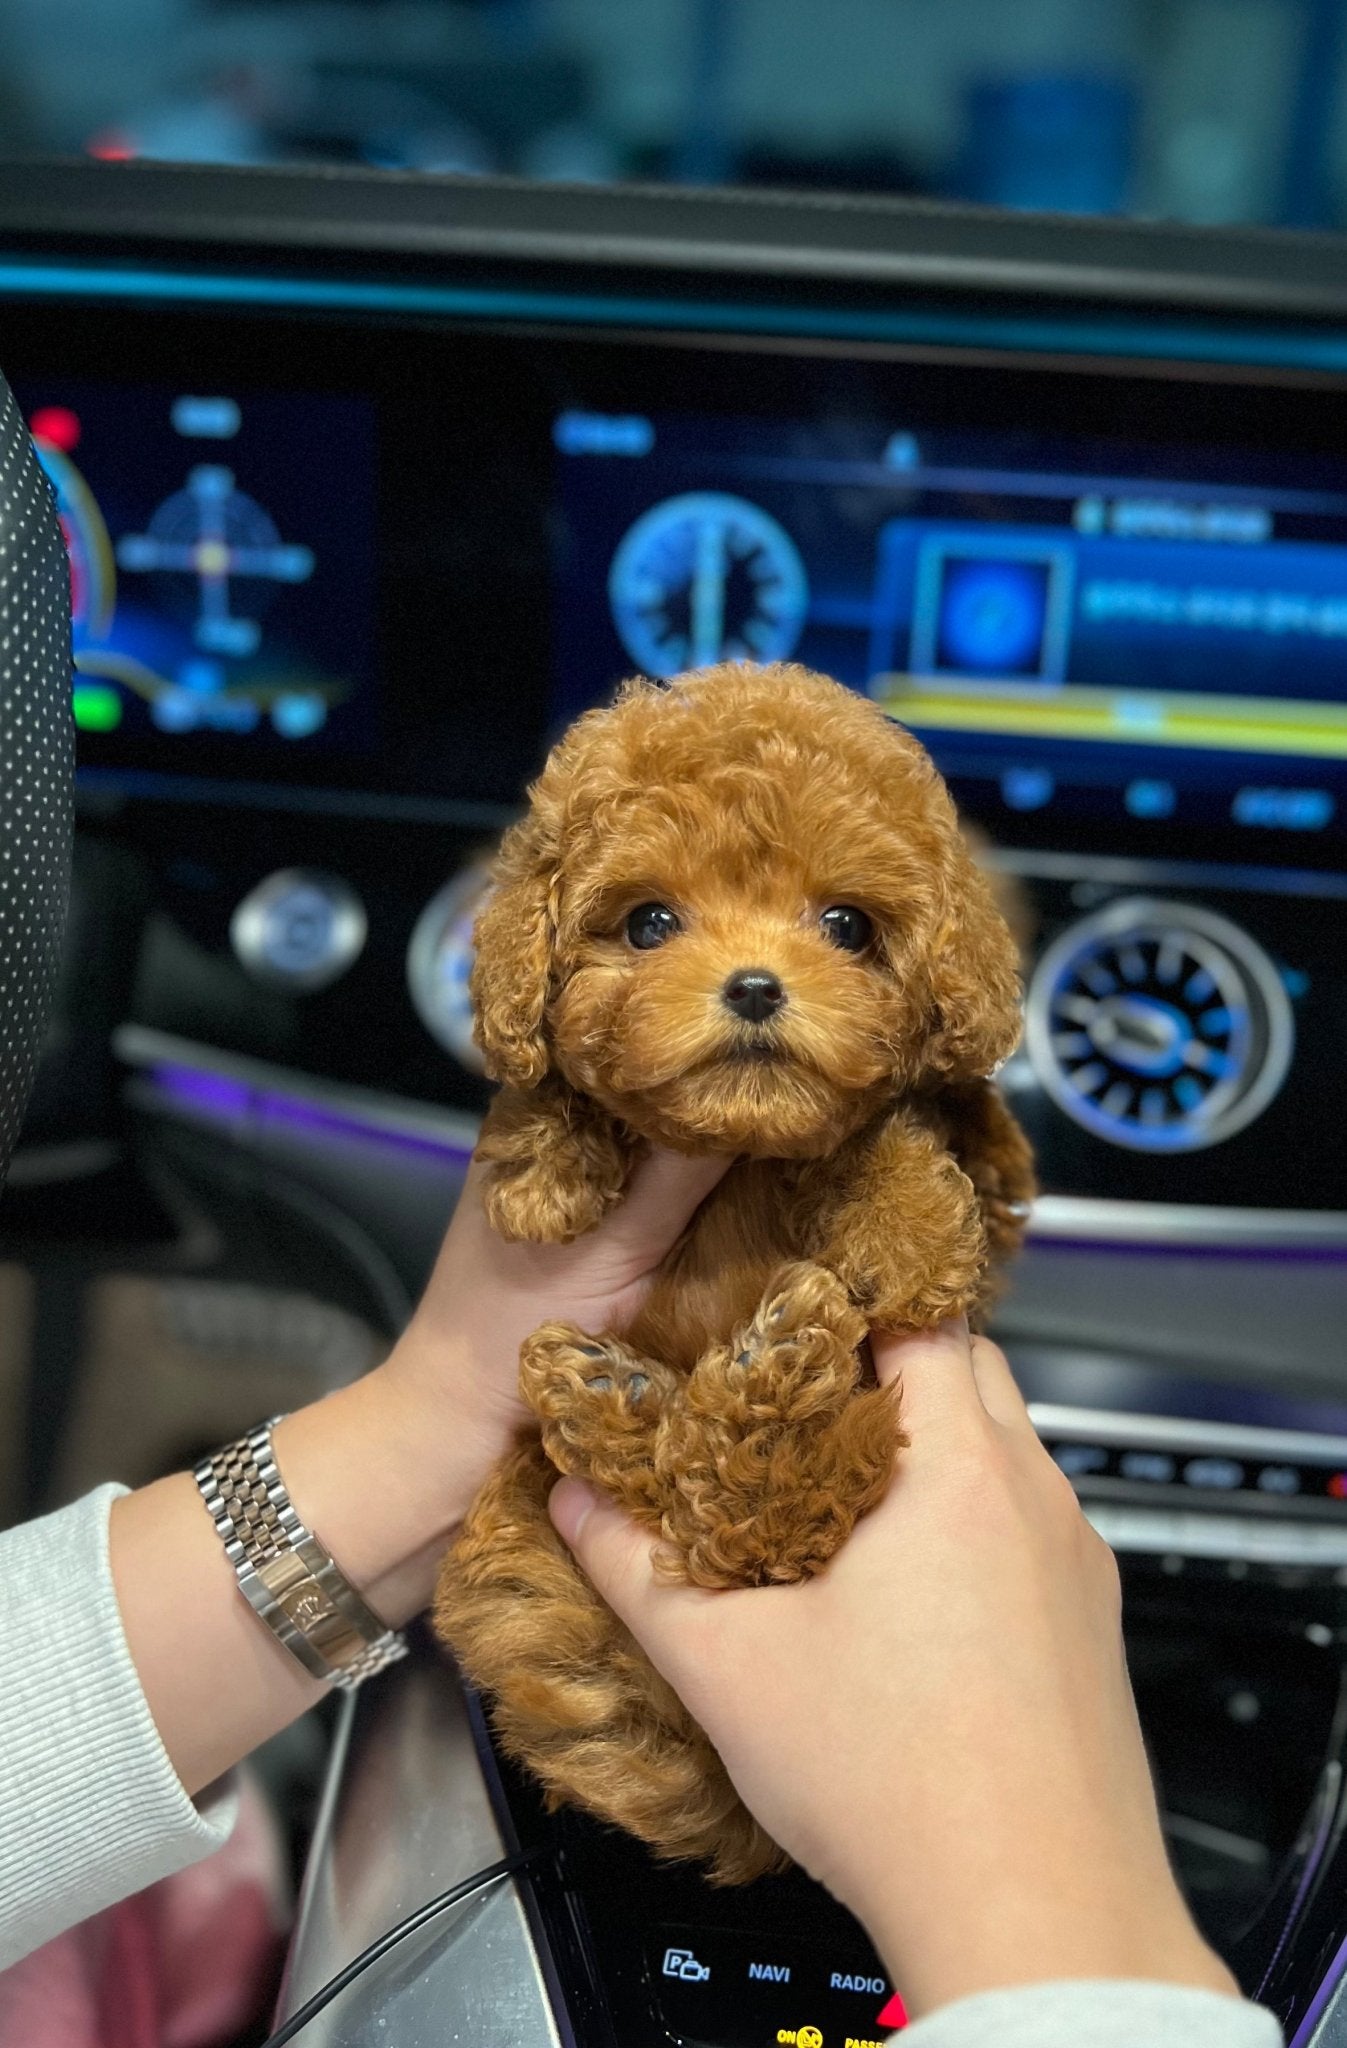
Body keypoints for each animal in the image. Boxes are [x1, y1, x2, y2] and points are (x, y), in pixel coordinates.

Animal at [429, 663, 1027, 1875]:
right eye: (648, 921)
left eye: (846, 925)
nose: (753, 985)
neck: (741, 1146)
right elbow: (542, 1076)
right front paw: (544, 1165)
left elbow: (897, 1120)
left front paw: (911, 1232)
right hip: (526, 1506)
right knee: (685, 1503)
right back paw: (616, 1388)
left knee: (752, 1530)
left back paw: (760, 1379)